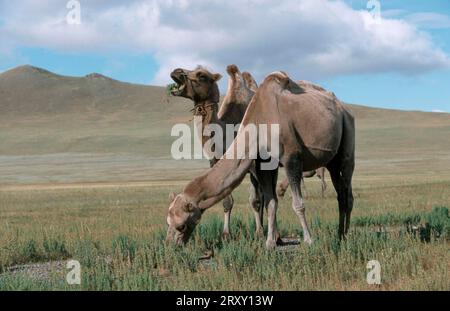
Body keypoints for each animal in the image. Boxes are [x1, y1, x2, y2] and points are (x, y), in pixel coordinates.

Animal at [168, 70, 356, 249]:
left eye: (181, 225)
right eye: (167, 222)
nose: (172, 244)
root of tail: (343, 107)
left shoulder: (291, 158)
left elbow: (297, 204)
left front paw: (308, 241)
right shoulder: (263, 164)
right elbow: (270, 202)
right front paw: (270, 243)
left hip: (347, 134)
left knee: (347, 190)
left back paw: (346, 236)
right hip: (331, 161)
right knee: (340, 192)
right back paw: (340, 235)